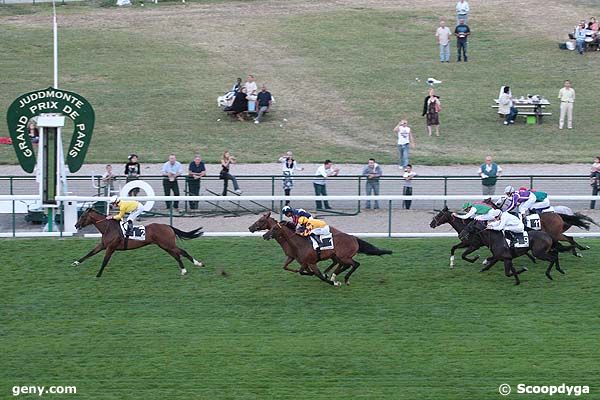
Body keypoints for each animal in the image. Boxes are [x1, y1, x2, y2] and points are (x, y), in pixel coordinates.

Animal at [72, 206, 204, 278]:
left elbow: (105, 261)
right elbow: (89, 253)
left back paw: (198, 263)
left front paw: (98, 274)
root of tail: (168, 226)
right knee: (177, 255)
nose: (76, 225)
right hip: (165, 246)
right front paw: (75, 263)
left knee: (182, 252)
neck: (108, 228)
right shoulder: (103, 245)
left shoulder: (111, 247)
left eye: (83, 216)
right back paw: (183, 270)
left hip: (168, 244)